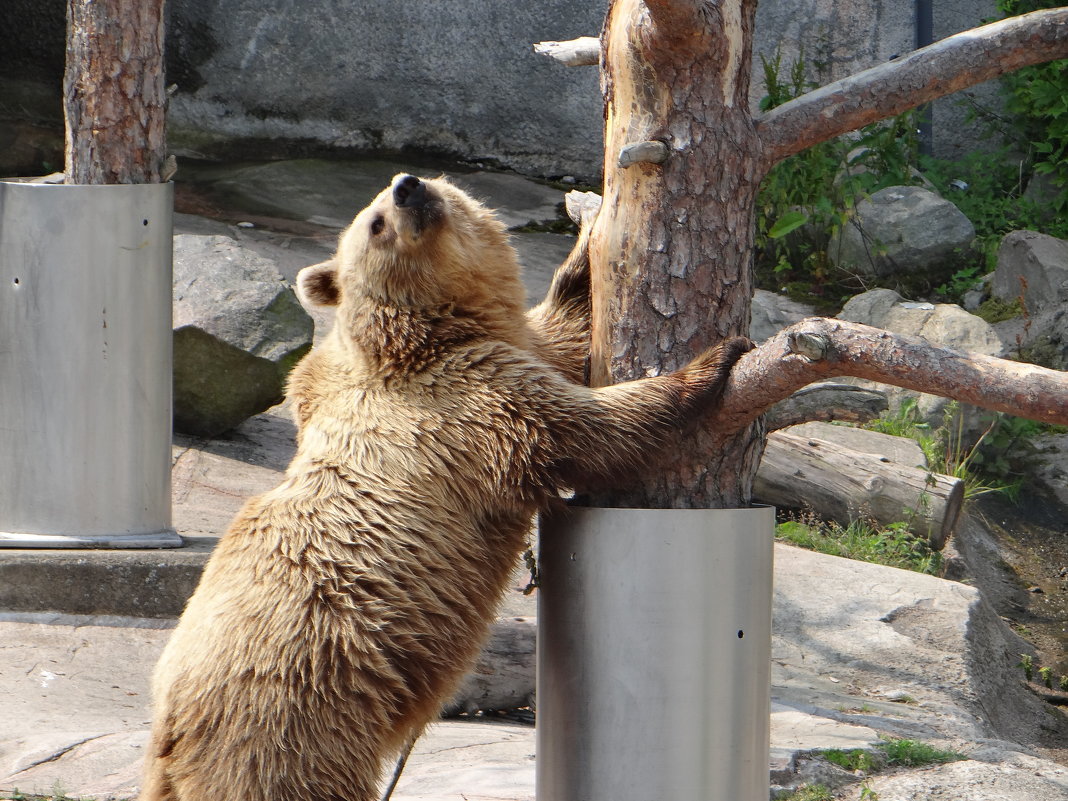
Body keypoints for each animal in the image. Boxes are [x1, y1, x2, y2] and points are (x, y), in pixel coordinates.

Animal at [142, 173, 751, 798]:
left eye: (407, 181)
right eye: (375, 223)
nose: (408, 187)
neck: (425, 337)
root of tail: (170, 728)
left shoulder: (503, 352)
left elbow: (562, 330)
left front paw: (587, 235)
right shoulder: (471, 404)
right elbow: (588, 429)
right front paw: (717, 359)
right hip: (289, 712)